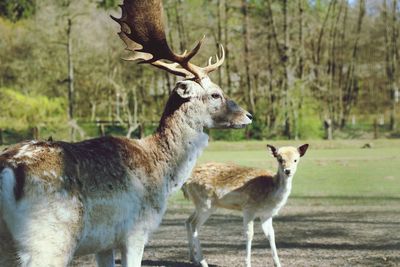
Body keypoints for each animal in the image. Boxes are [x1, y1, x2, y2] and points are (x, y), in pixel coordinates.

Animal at [0, 0, 252, 267]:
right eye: (216, 94)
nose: (248, 115)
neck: (162, 174)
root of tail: (8, 170)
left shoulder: (104, 242)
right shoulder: (135, 231)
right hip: (49, 242)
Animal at [182, 144, 310, 267]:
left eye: (296, 159)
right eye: (280, 159)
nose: (287, 171)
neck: (270, 193)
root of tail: (186, 181)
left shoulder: (267, 214)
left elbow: (271, 234)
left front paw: (278, 264)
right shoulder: (248, 209)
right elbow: (249, 234)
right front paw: (247, 263)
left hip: (201, 205)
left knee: (188, 221)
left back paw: (193, 259)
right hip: (206, 204)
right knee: (194, 225)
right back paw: (203, 262)